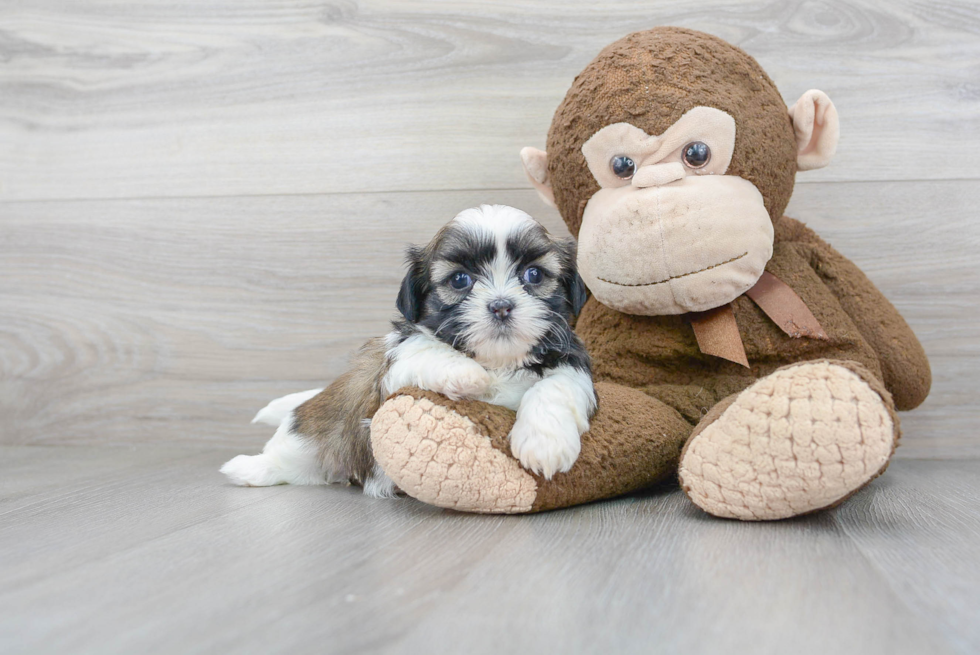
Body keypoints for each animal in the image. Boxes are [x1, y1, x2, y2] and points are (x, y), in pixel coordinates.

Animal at [222, 205, 596, 498]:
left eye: (534, 274)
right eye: (460, 280)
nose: (501, 306)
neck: (497, 361)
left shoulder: (573, 361)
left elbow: (557, 386)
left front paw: (544, 442)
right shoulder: (394, 365)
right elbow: (424, 349)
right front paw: (468, 375)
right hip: (311, 435)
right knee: (286, 456)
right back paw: (247, 468)